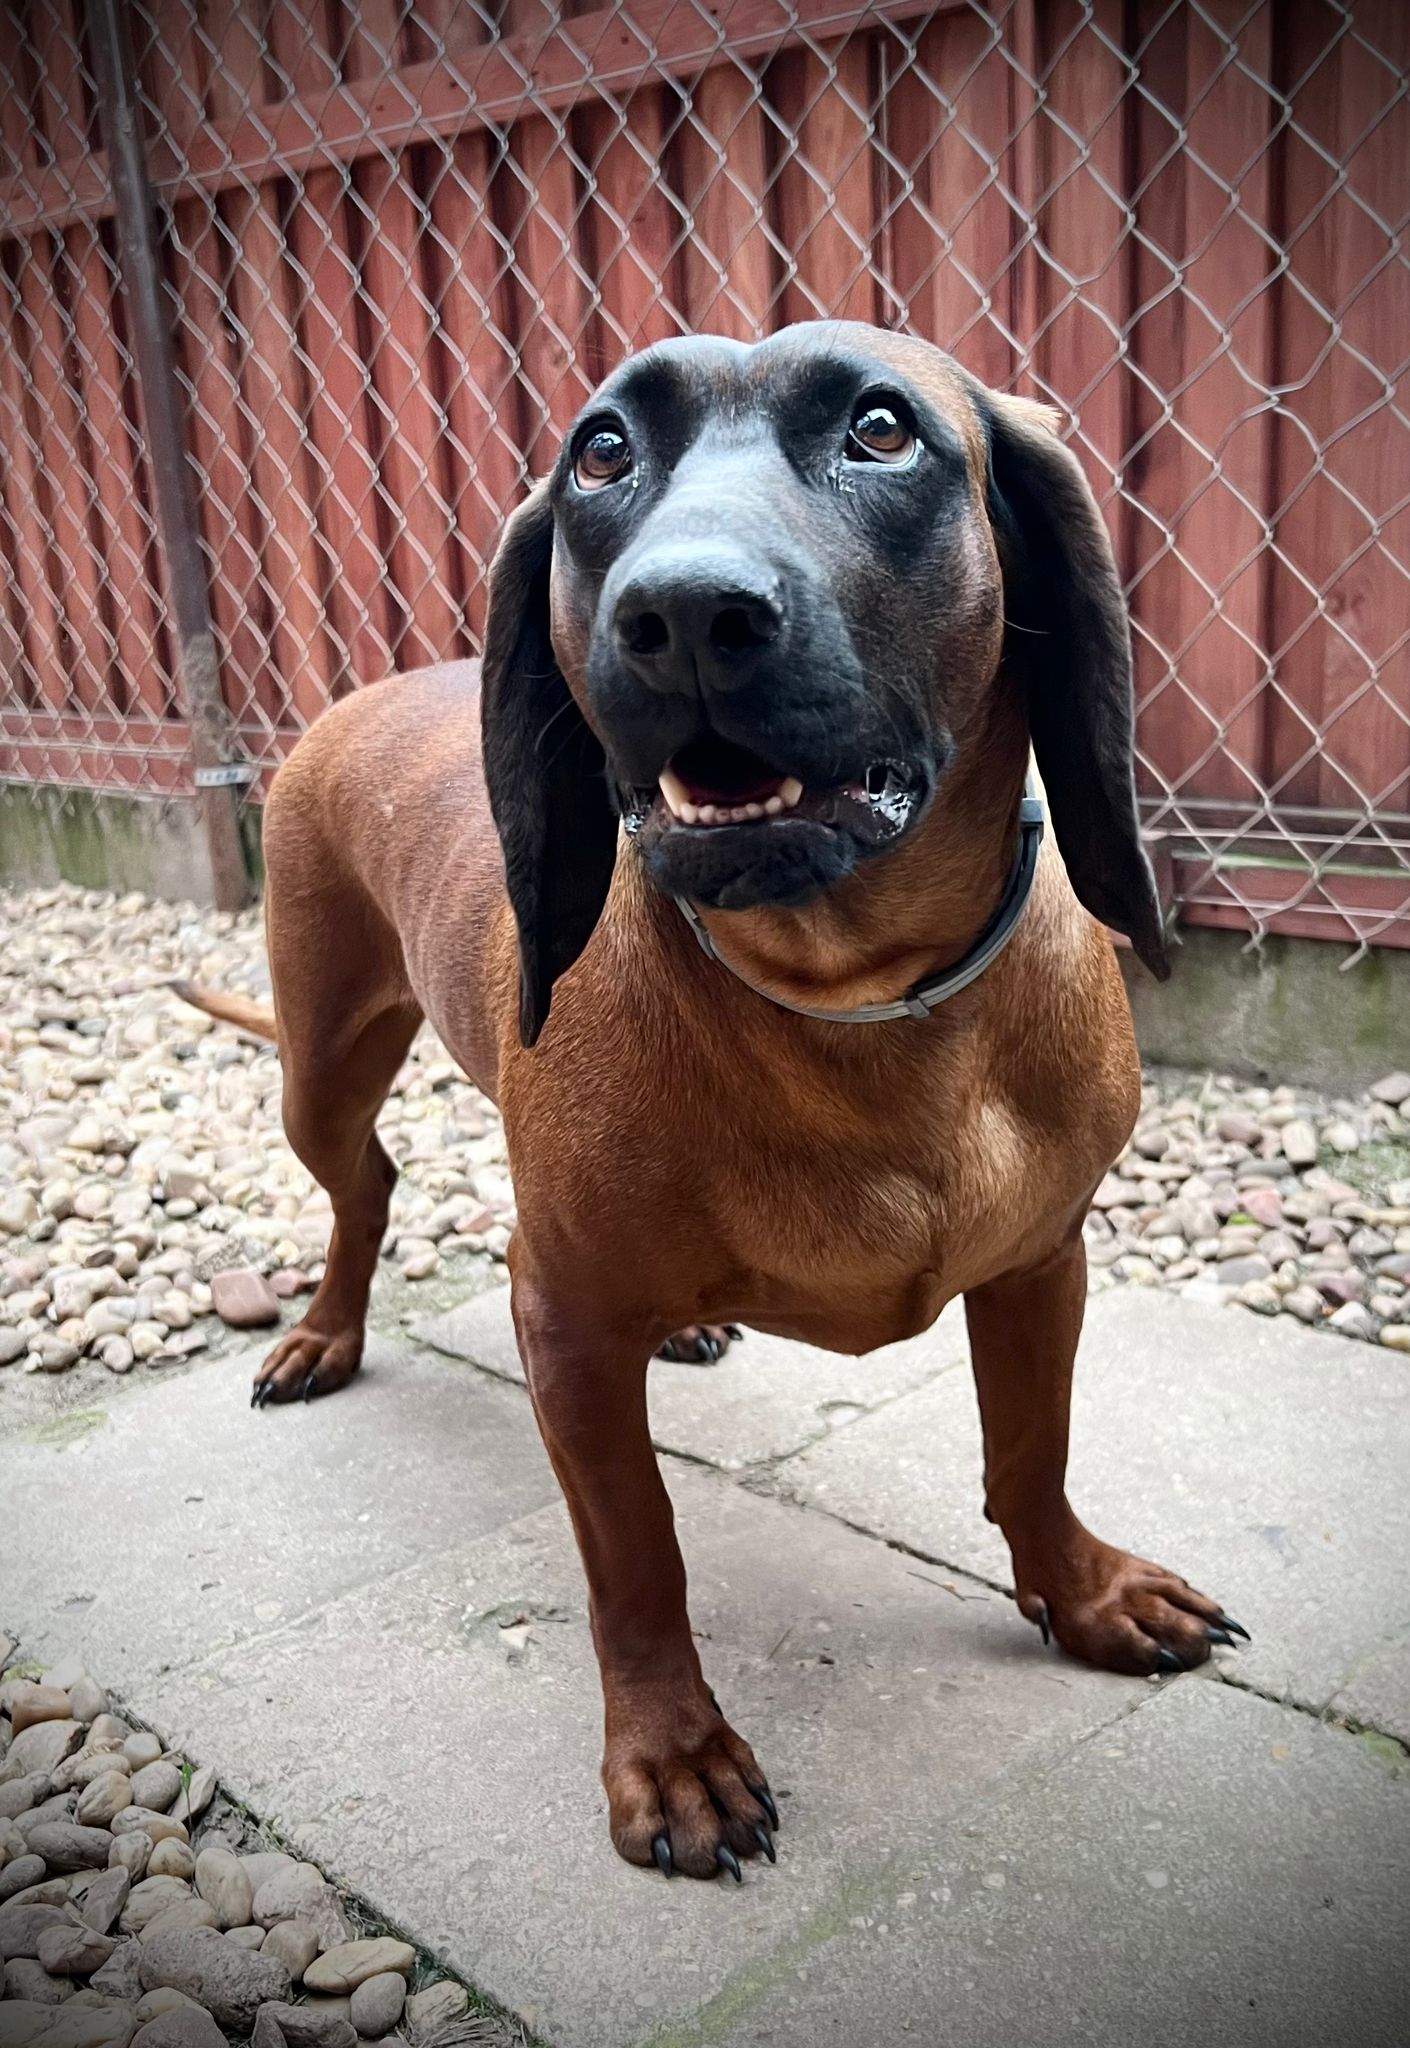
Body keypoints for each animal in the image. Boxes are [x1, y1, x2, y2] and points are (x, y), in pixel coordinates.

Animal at [179, 321, 1245, 1883]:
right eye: (600, 452)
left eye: (881, 429)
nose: (680, 614)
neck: (852, 997)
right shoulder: (563, 1322)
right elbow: (636, 1550)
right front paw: (673, 1755)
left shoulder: (1044, 1264)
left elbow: (1031, 1451)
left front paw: (1084, 1592)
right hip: (316, 1065)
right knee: (362, 1182)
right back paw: (323, 1332)